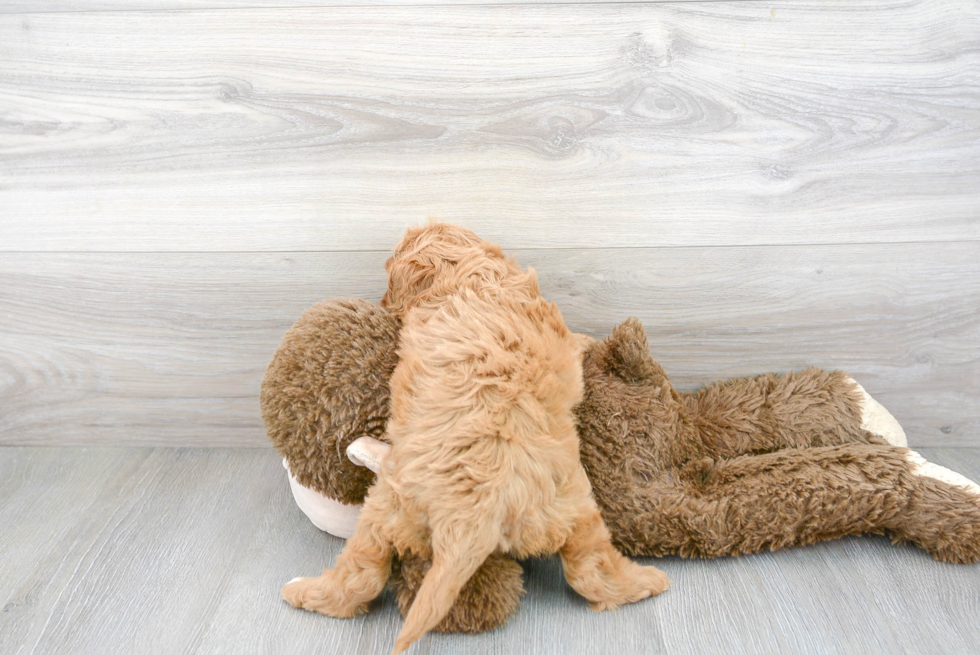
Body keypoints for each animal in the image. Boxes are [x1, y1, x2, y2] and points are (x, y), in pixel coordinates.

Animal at [284, 224, 668, 652]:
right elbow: (574, 340)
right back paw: (649, 581)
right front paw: (588, 342)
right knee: (592, 570)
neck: (472, 275)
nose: (383, 303)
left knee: (361, 576)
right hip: (572, 506)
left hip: (388, 510)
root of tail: (471, 520)